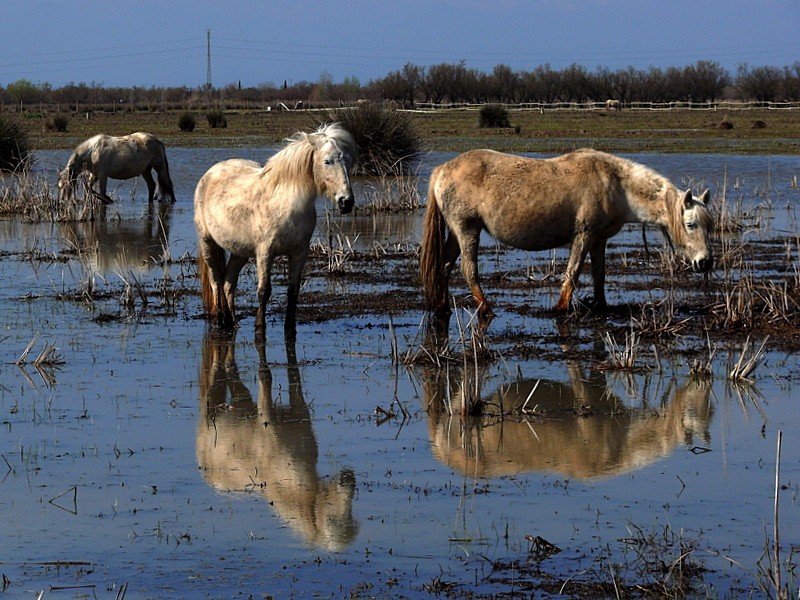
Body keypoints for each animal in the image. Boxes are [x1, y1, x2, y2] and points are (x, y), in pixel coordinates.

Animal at [194, 122, 356, 338]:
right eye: (327, 161)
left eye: (348, 161)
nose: (346, 202)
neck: (286, 204)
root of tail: (209, 174)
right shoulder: (265, 253)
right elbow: (264, 291)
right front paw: (259, 327)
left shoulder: (299, 253)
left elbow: (293, 291)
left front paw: (289, 327)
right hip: (208, 244)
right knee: (216, 282)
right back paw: (220, 321)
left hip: (240, 251)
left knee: (229, 282)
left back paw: (232, 322)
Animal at [418, 148, 712, 326]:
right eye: (690, 224)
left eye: (708, 226)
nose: (705, 262)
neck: (617, 185)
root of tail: (443, 170)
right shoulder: (584, 236)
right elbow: (573, 272)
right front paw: (561, 308)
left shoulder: (599, 240)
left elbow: (599, 275)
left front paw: (600, 306)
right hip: (467, 230)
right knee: (469, 272)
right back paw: (487, 310)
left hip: (457, 233)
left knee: (444, 267)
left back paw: (442, 307)